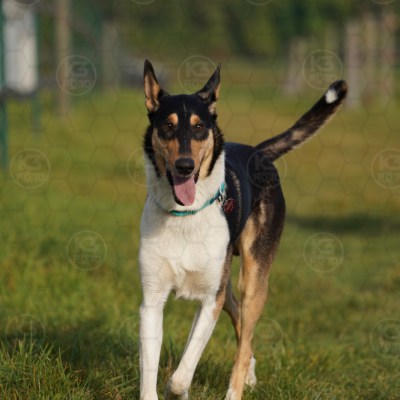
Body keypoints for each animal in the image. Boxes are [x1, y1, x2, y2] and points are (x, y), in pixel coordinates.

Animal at [139, 59, 347, 400]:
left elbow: (182, 373)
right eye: (167, 126)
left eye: (199, 127)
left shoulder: (210, 299)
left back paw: (236, 388)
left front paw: (178, 391)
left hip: (252, 279)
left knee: (245, 332)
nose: (184, 166)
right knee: (239, 324)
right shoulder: (152, 300)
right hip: (227, 285)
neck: (184, 215)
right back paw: (249, 371)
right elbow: (151, 367)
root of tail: (258, 152)